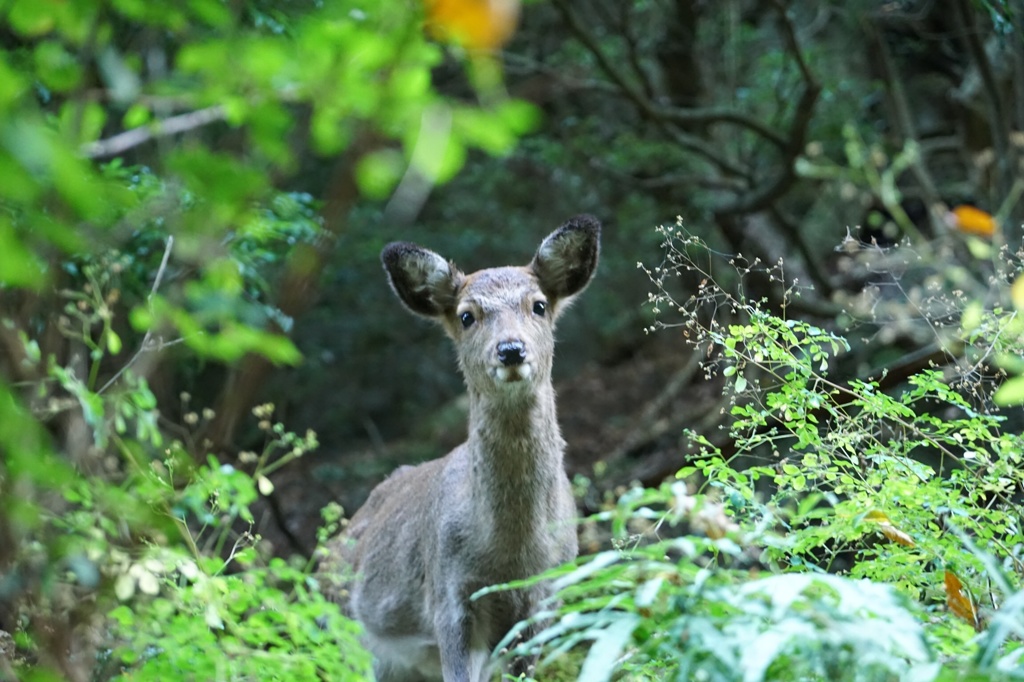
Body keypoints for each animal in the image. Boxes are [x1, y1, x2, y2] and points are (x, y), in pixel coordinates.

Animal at [327, 215, 598, 675]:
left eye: (539, 305)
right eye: (467, 315)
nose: (511, 350)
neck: (512, 555)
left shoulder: (545, 596)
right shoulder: (450, 597)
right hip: (347, 635)